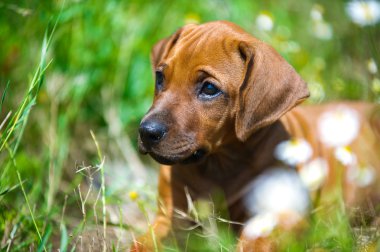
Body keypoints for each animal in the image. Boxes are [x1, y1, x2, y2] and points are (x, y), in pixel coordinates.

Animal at [131, 20, 380, 251]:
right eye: (160, 77)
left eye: (209, 89)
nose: (147, 131)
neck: (218, 165)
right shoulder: (172, 218)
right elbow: (140, 244)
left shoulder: (281, 216)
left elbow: (256, 242)